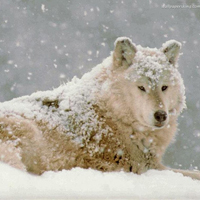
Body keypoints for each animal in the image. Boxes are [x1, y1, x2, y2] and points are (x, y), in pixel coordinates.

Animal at [0, 36, 200, 179]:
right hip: (25, 130)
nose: (161, 115)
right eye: (141, 87)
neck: (113, 114)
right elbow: (191, 174)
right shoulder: (144, 166)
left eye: (164, 87)